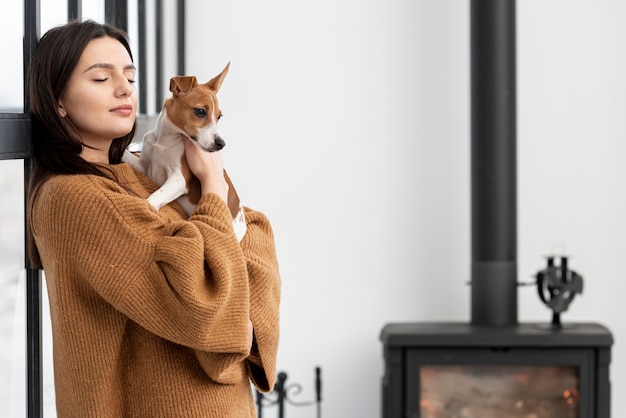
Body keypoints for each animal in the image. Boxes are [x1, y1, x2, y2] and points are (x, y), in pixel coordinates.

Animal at [120, 60, 245, 240]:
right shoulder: (145, 165)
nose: (221, 144)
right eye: (200, 111)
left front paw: (145, 206)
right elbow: (129, 156)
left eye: (219, 116)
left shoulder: (180, 178)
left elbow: (157, 195)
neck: (164, 140)